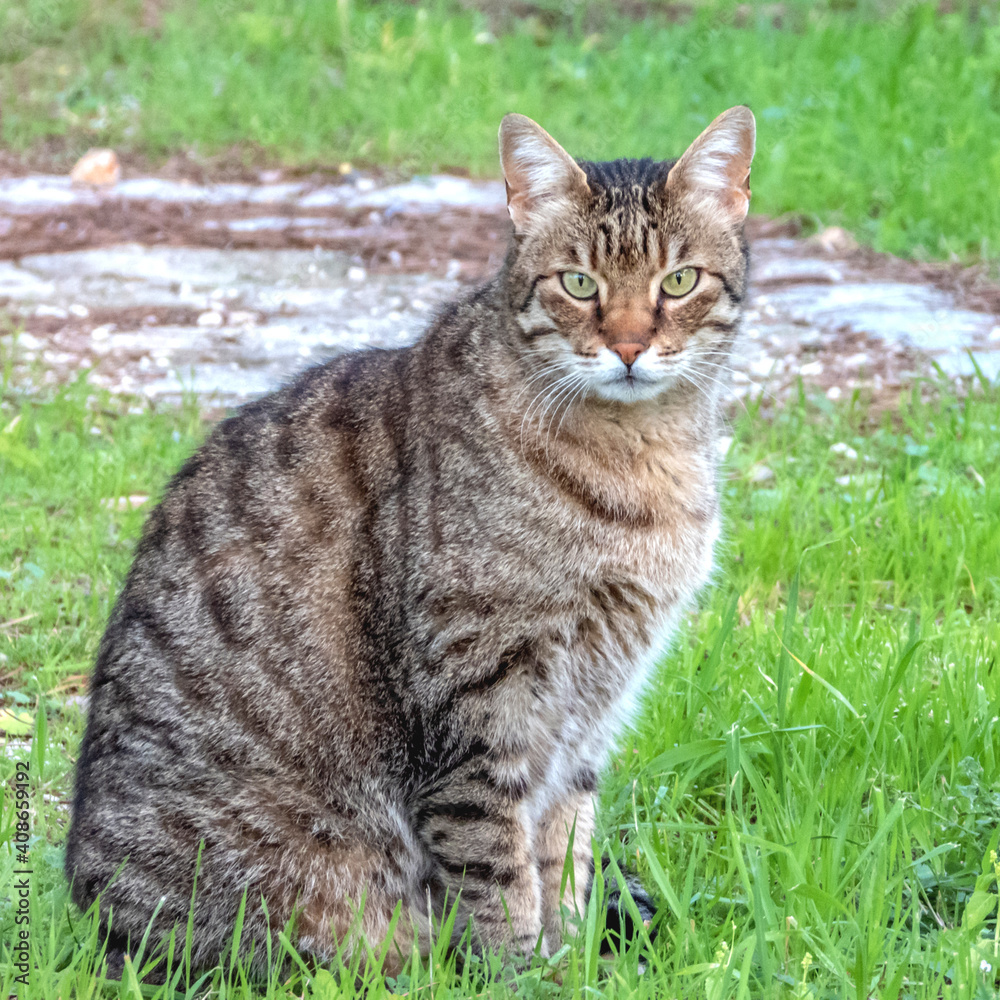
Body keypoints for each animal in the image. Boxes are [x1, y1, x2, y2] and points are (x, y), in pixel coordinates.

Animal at [66, 107, 752, 976]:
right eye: (580, 284)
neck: (641, 458)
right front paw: (523, 975)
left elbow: (563, 853)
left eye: (679, 282)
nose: (628, 347)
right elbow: (498, 871)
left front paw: (573, 963)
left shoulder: (589, 708)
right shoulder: (478, 701)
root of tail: (93, 926)